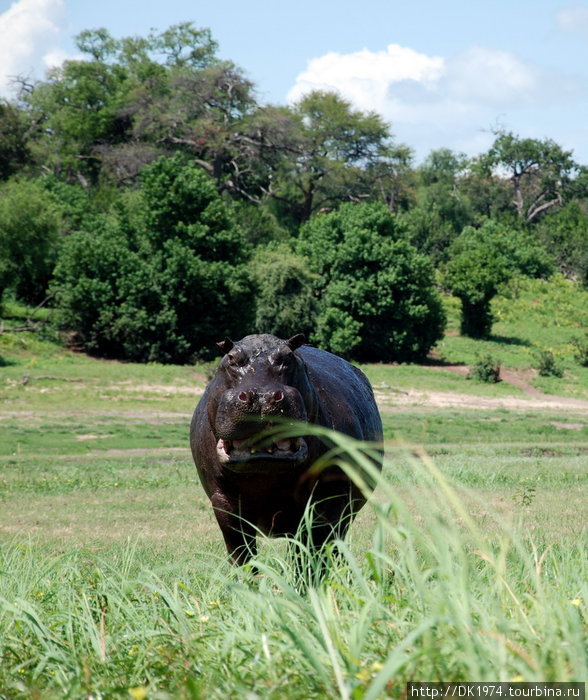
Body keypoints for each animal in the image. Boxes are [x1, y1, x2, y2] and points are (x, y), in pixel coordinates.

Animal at [189, 330, 386, 568]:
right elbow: (240, 554)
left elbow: (311, 552)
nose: (261, 396)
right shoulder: (223, 500)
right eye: (231, 359)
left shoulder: (327, 501)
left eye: (288, 358)